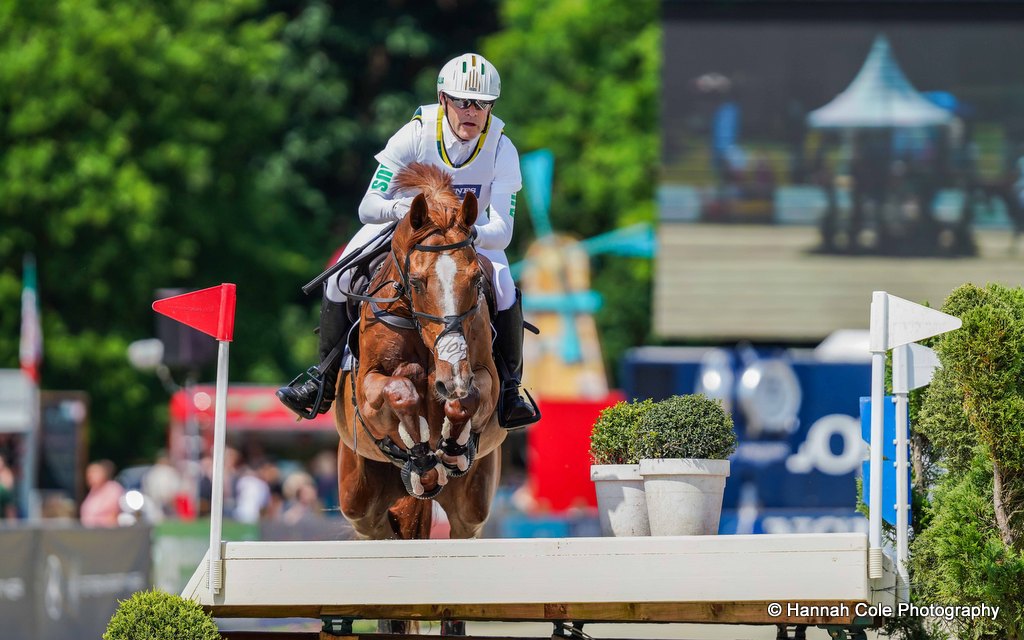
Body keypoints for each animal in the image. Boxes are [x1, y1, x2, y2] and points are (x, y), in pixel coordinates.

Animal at [334, 162, 506, 543]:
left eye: (476, 280)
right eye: (415, 282)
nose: (452, 378)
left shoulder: (484, 378)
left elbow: (469, 398)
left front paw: (451, 448)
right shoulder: (367, 393)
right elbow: (400, 389)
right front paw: (420, 450)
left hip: (471, 506)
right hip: (358, 495)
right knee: (379, 527)